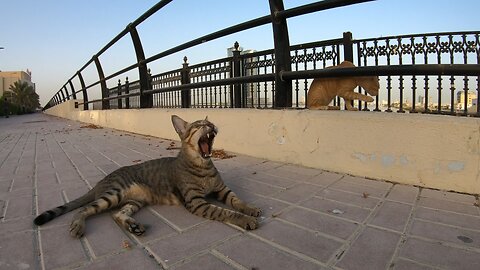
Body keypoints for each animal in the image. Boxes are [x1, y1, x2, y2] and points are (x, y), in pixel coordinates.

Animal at [33, 115, 260, 237]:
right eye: (198, 126)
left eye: (210, 123)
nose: (211, 126)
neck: (202, 164)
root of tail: (100, 182)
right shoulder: (196, 202)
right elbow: (225, 211)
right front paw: (245, 219)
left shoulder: (222, 189)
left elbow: (236, 200)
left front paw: (251, 208)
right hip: (114, 193)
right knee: (83, 210)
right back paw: (78, 225)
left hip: (134, 201)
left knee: (117, 214)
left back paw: (133, 226)